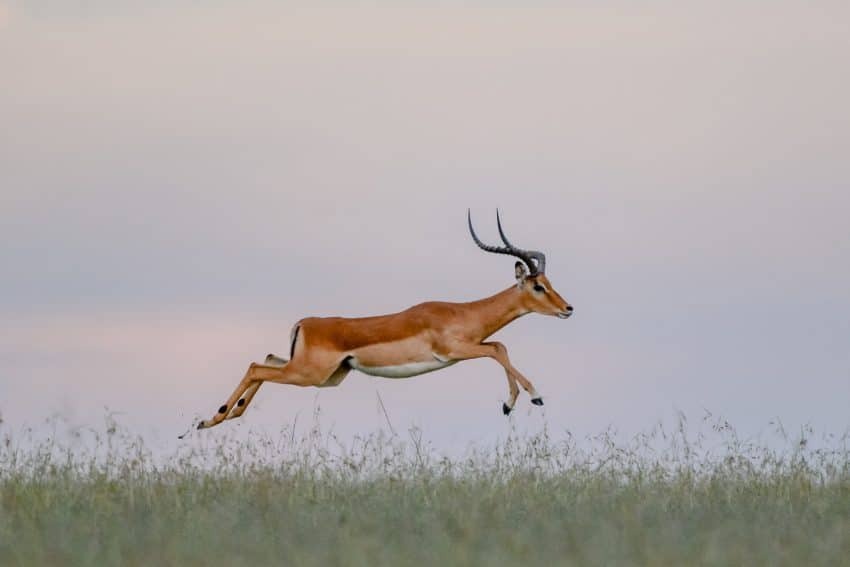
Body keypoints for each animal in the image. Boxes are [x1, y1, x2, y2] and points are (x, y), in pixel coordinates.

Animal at [195, 211, 572, 432]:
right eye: (538, 286)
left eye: (549, 283)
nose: (568, 308)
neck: (463, 313)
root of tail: (305, 323)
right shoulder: (454, 351)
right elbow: (497, 349)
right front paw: (532, 397)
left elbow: (500, 346)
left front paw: (509, 404)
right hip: (307, 375)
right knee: (256, 367)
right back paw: (212, 417)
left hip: (324, 376)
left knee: (265, 361)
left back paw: (223, 416)